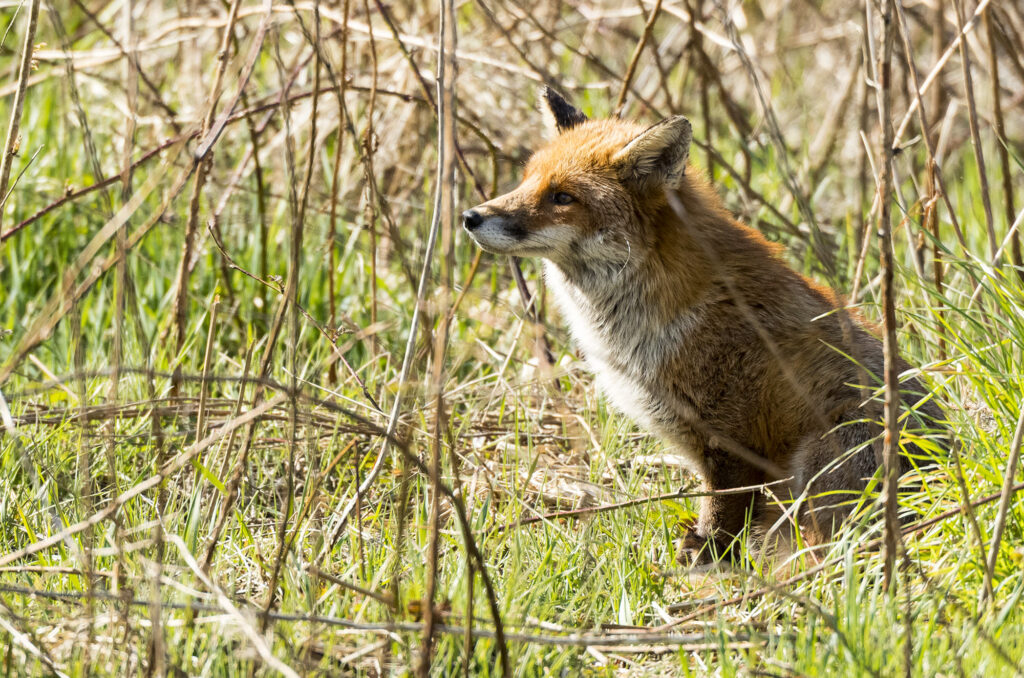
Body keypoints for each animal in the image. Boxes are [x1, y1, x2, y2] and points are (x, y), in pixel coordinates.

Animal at [464, 89, 942, 569]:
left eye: (562, 197)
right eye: (526, 181)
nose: (470, 216)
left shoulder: (732, 439)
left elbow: (721, 516)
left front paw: (704, 560)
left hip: (823, 459)